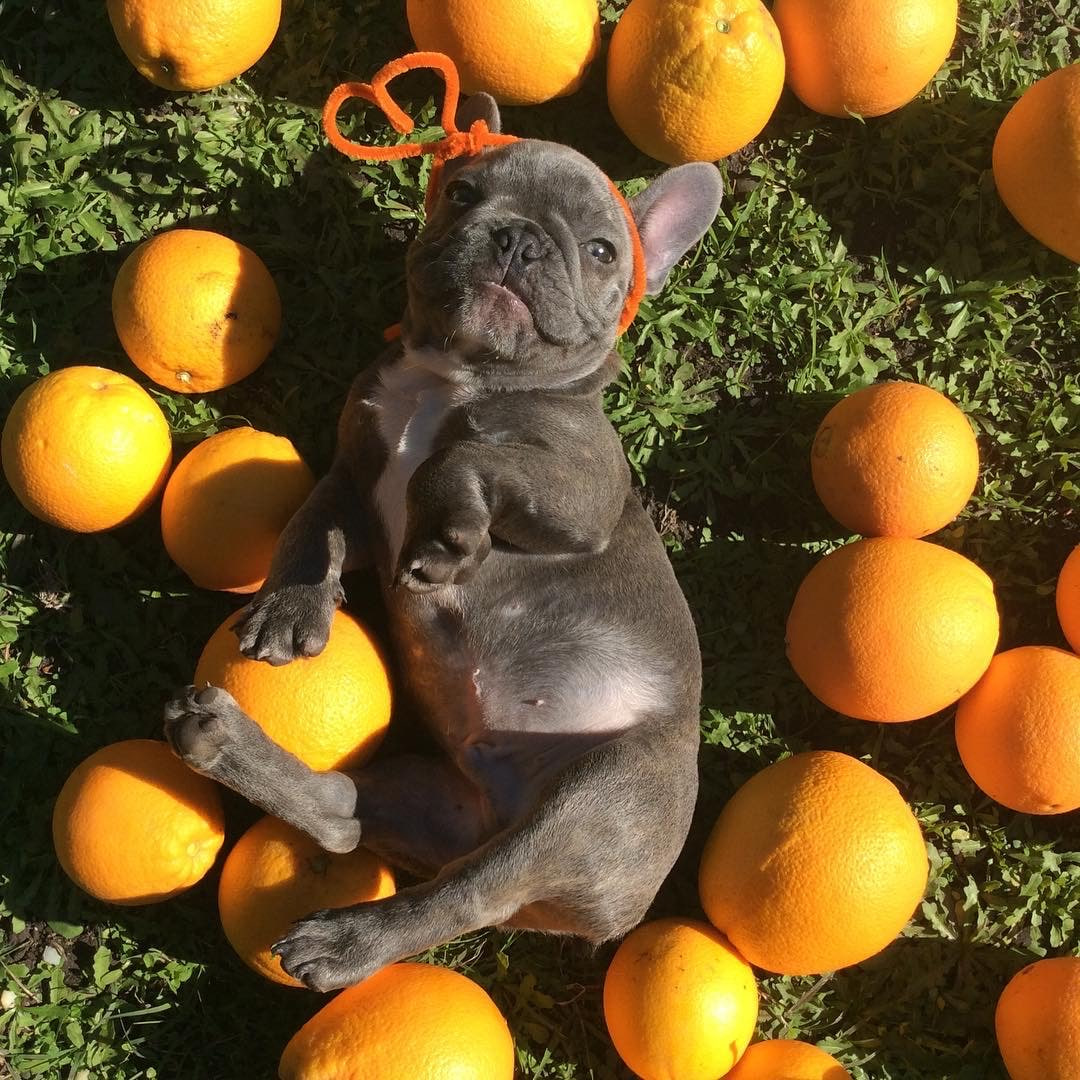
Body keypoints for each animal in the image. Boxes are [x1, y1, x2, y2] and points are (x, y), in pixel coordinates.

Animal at [164, 97, 721, 989]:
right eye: (462, 194)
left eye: (601, 250)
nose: (519, 237)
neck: (452, 377)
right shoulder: (353, 474)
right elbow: (307, 525)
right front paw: (289, 610)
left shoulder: (582, 489)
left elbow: (455, 459)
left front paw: (450, 539)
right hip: (428, 795)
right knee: (344, 820)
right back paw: (215, 740)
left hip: (600, 794)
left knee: (468, 895)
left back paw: (349, 942)